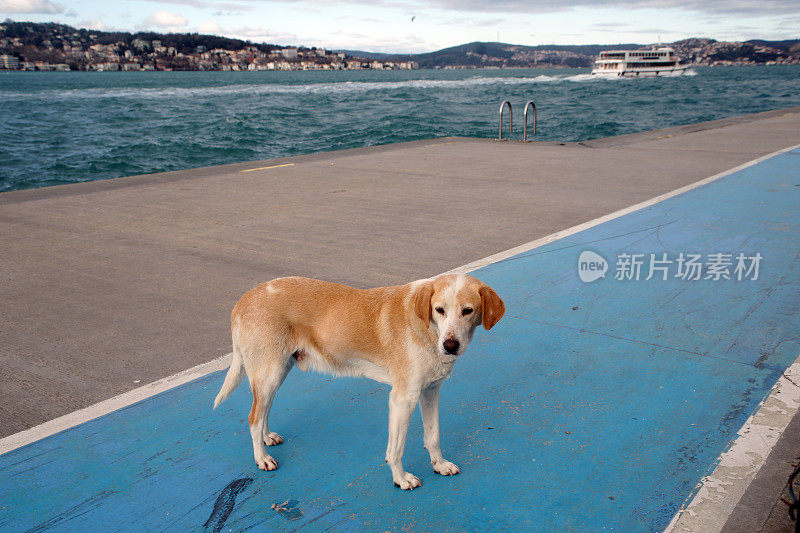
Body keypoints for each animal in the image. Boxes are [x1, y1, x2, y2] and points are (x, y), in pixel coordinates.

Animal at [216, 272, 504, 488]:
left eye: (468, 311)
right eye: (439, 310)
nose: (450, 345)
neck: (428, 328)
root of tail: (244, 299)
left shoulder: (431, 392)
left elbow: (433, 436)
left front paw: (439, 465)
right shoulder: (402, 399)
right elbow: (396, 449)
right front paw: (400, 479)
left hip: (276, 372)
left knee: (262, 411)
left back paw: (267, 439)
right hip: (270, 372)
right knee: (253, 416)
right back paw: (262, 458)